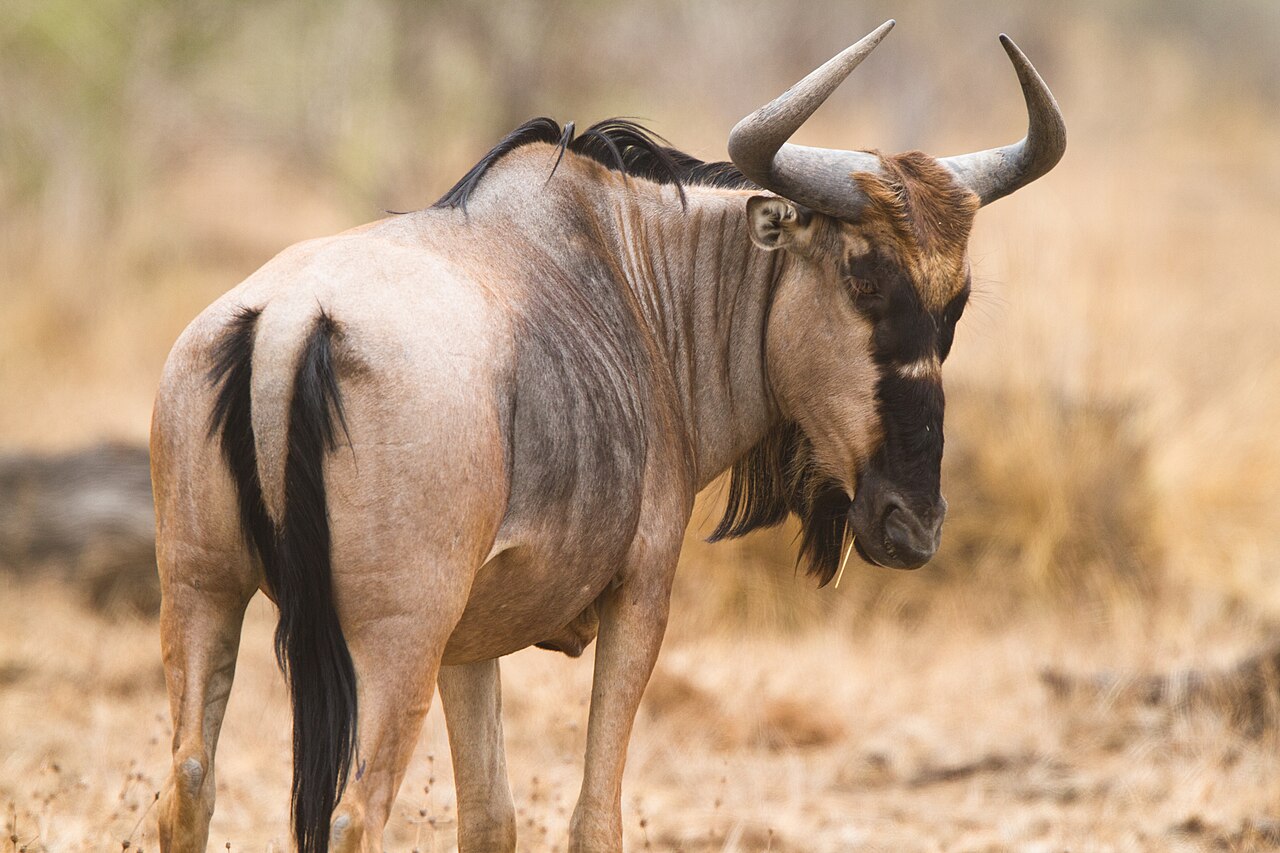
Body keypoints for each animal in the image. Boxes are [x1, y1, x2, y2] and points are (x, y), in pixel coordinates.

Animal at [152, 20, 1065, 852]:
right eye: (863, 277)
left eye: (956, 303)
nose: (913, 525)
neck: (639, 275)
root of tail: (290, 320)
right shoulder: (639, 595)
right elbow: (595, 818)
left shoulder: (467, 642)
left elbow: (491, 818)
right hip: (393, 638)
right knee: (354, 817)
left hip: (203, 597)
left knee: (188, 786)